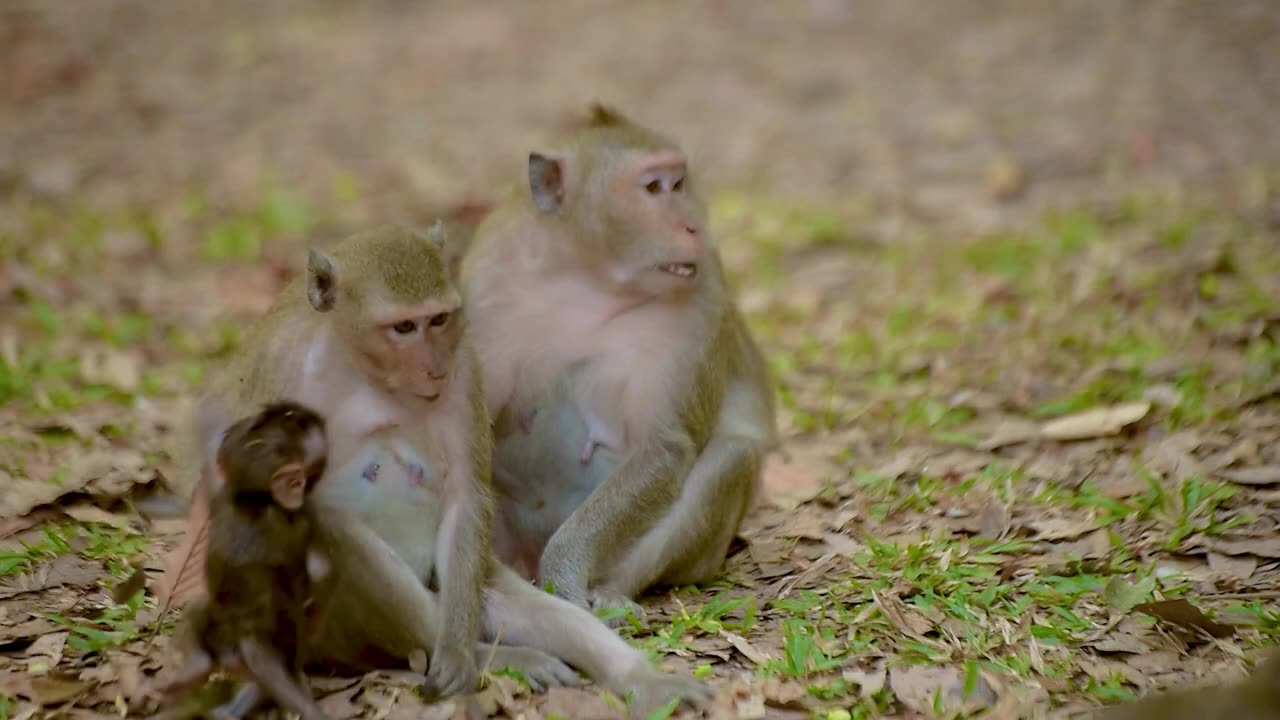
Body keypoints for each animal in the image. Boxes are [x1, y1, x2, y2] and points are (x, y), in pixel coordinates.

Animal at [170, 222, 711, 712]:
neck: (359, 366)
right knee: (334, 529)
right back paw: (496, 658)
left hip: (469, 587)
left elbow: (466, 495)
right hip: (337, 635)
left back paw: (635, 678)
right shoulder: (278, 363)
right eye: (404, 327)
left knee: (535, 609)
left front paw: (455, 652)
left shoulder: (464, 362)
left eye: (438, 320)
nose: (432, 366)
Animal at [463, 101, 778, 617]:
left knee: (728, 458)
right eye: (653, 188)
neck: (586, 278)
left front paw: (565, 574)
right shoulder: (487, 281)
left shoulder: (700, 300)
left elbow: (662, 448)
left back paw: (609, 591)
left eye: (680, 183)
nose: (693, 225)